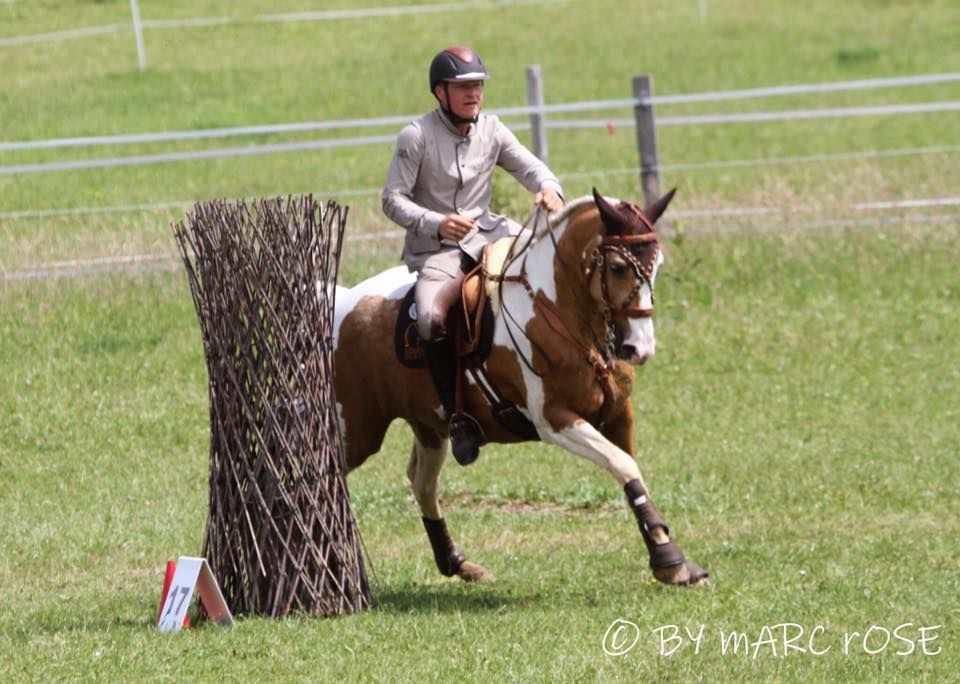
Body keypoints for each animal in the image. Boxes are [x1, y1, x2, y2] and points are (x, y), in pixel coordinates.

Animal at [334, 188, 708, 588]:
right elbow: (621, 463)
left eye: (658, 265)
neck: (557, 313)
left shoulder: (619, 414)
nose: (639, 348)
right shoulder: (555, 420)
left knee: (422, 484)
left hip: (430, 428)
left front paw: (670, 560)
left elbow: (631, 471)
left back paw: (457, 564)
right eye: (619, 267)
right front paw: (668, 558)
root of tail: (343, 302)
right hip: (357, 431)